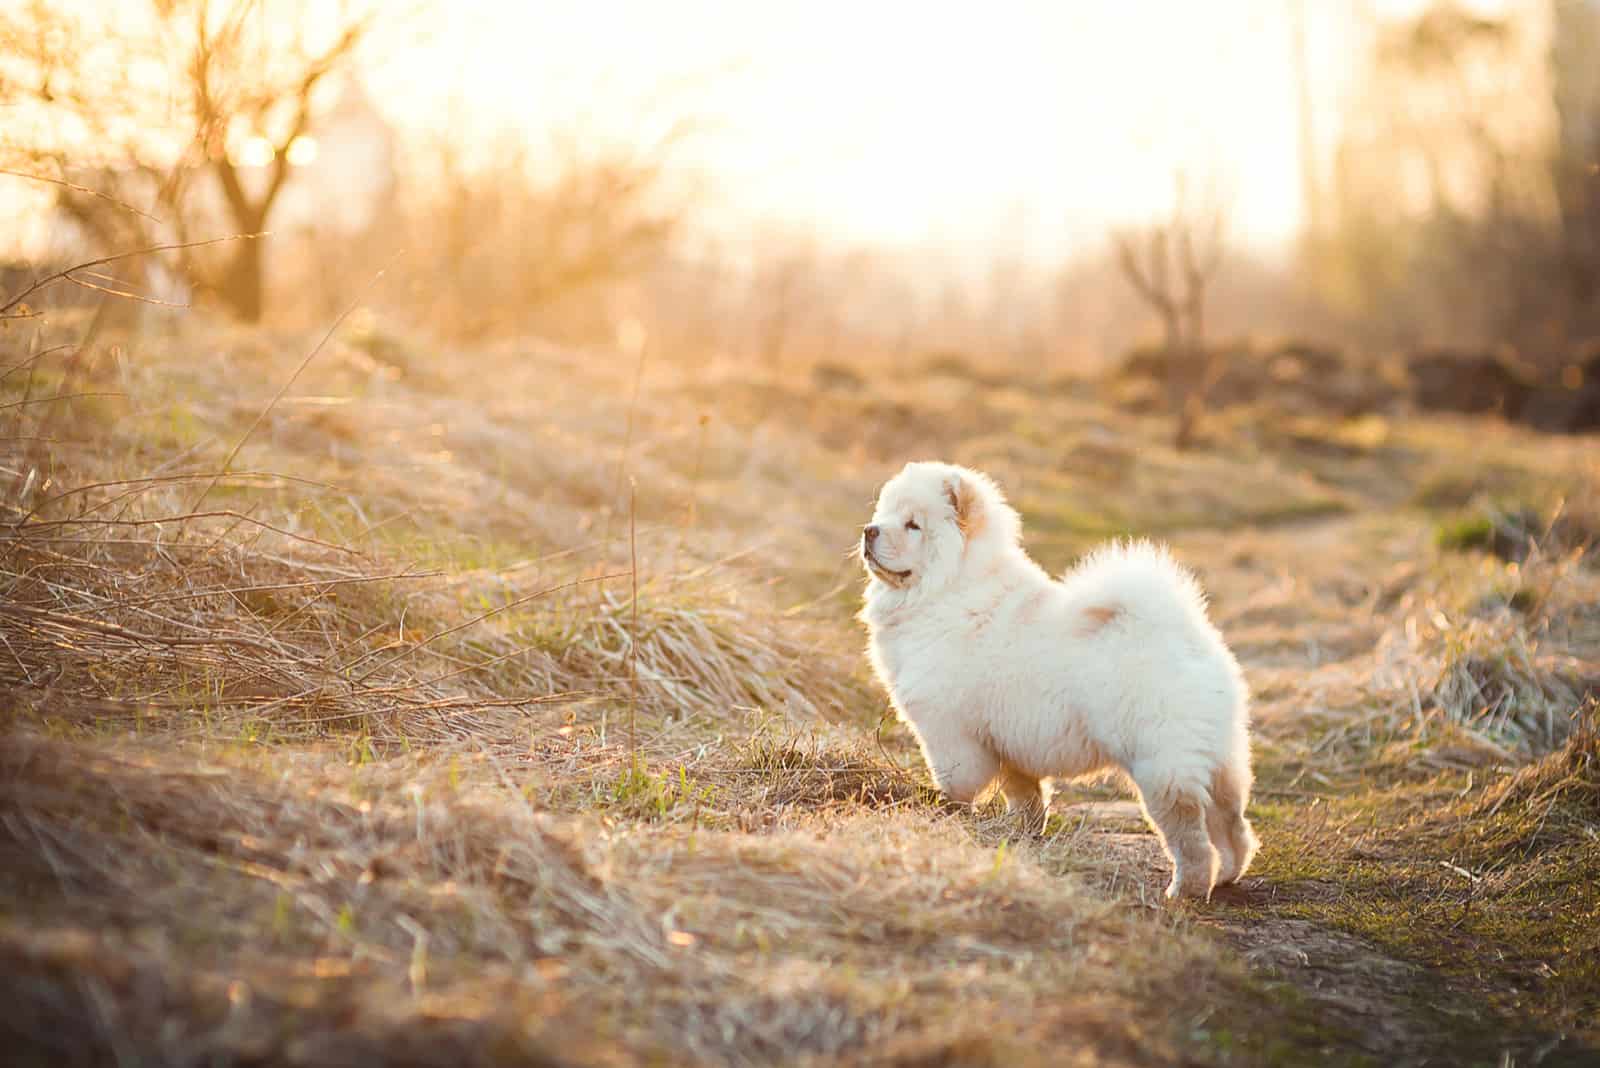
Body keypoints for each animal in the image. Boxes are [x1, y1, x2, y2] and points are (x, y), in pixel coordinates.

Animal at [857, 460, 1254, 901]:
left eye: (912, 525)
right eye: (883, 513)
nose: (869, 530)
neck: (947, 591)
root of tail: (1188, 637)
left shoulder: (950, 733)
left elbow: (957, 783)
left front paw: (950, 816)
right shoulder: (1007, 740)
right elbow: (1025, 795)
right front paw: (1021, 835)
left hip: (1161, 763)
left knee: (1191, 834)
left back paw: (1186, 890)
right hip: (1220, 757)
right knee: (1232, 823)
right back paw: (1228, 876)